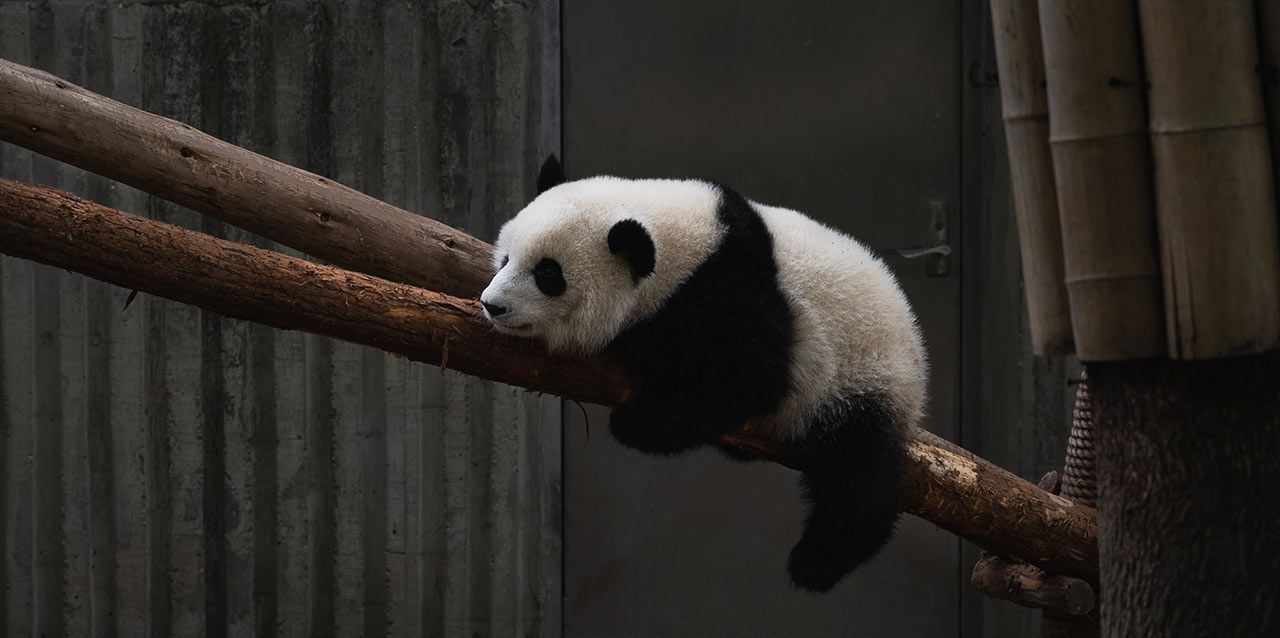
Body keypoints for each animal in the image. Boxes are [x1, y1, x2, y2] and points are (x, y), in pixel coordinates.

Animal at [480, 156, 928, 592]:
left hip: (862, 378)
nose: (492, 305)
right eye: (506, 258)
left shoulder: (733, 291)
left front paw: (637, 417)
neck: (689, 247)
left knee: (857, 474)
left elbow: (748, 377)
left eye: (548, 273)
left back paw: (819, 560)